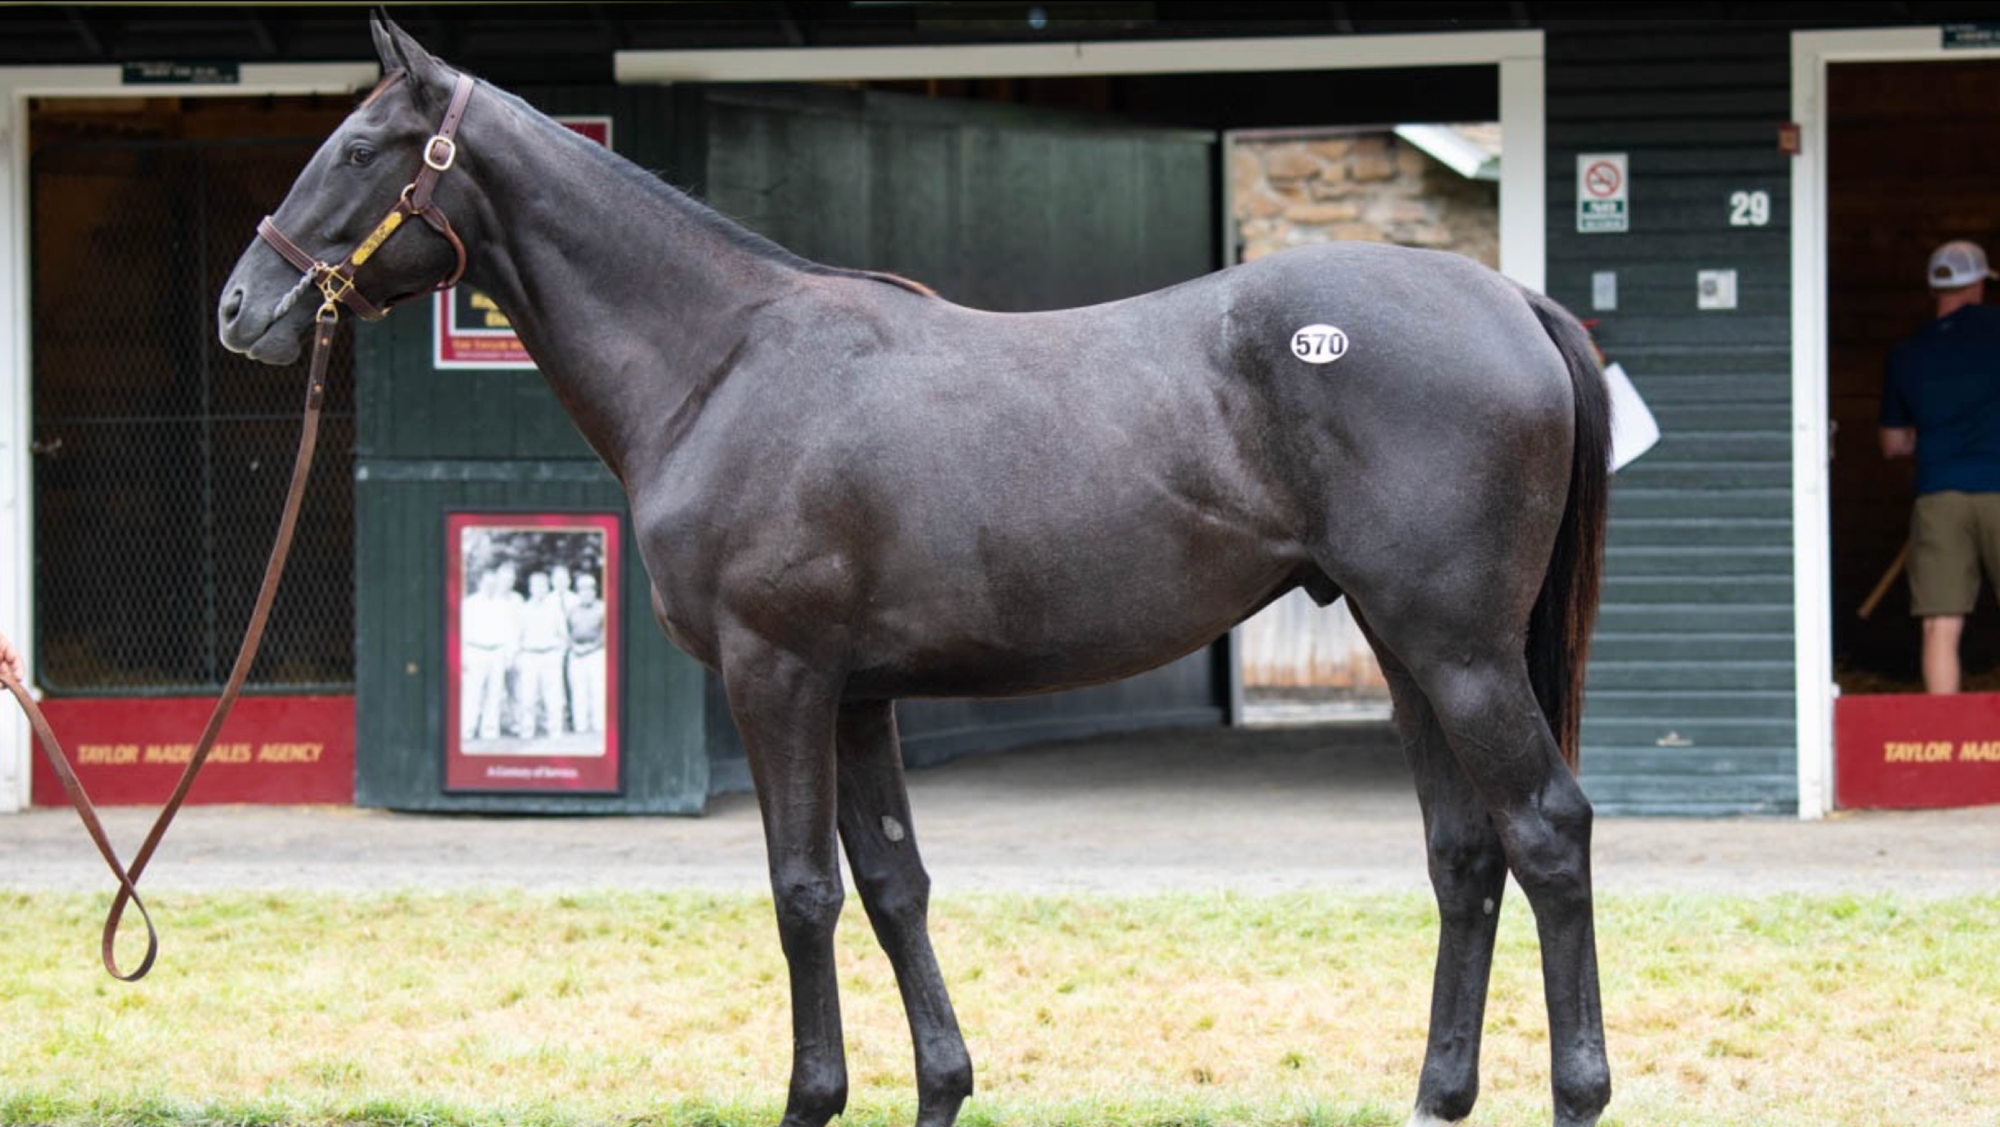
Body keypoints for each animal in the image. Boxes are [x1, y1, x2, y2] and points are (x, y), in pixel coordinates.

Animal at [219, 15, 1616, 1127]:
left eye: (357, 149)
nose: (241, 308)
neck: (721, 363)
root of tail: (1512, 303)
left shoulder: (775, 674)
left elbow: (801, 890)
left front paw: (811, 1095)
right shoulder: (856, 694)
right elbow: (894, 883)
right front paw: (940, 1085)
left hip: (1457, 648)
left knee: (1545, 831)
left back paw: (1576, 1089)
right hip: (1403, 646)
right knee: (1462, 852)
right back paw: (1436, 1094)